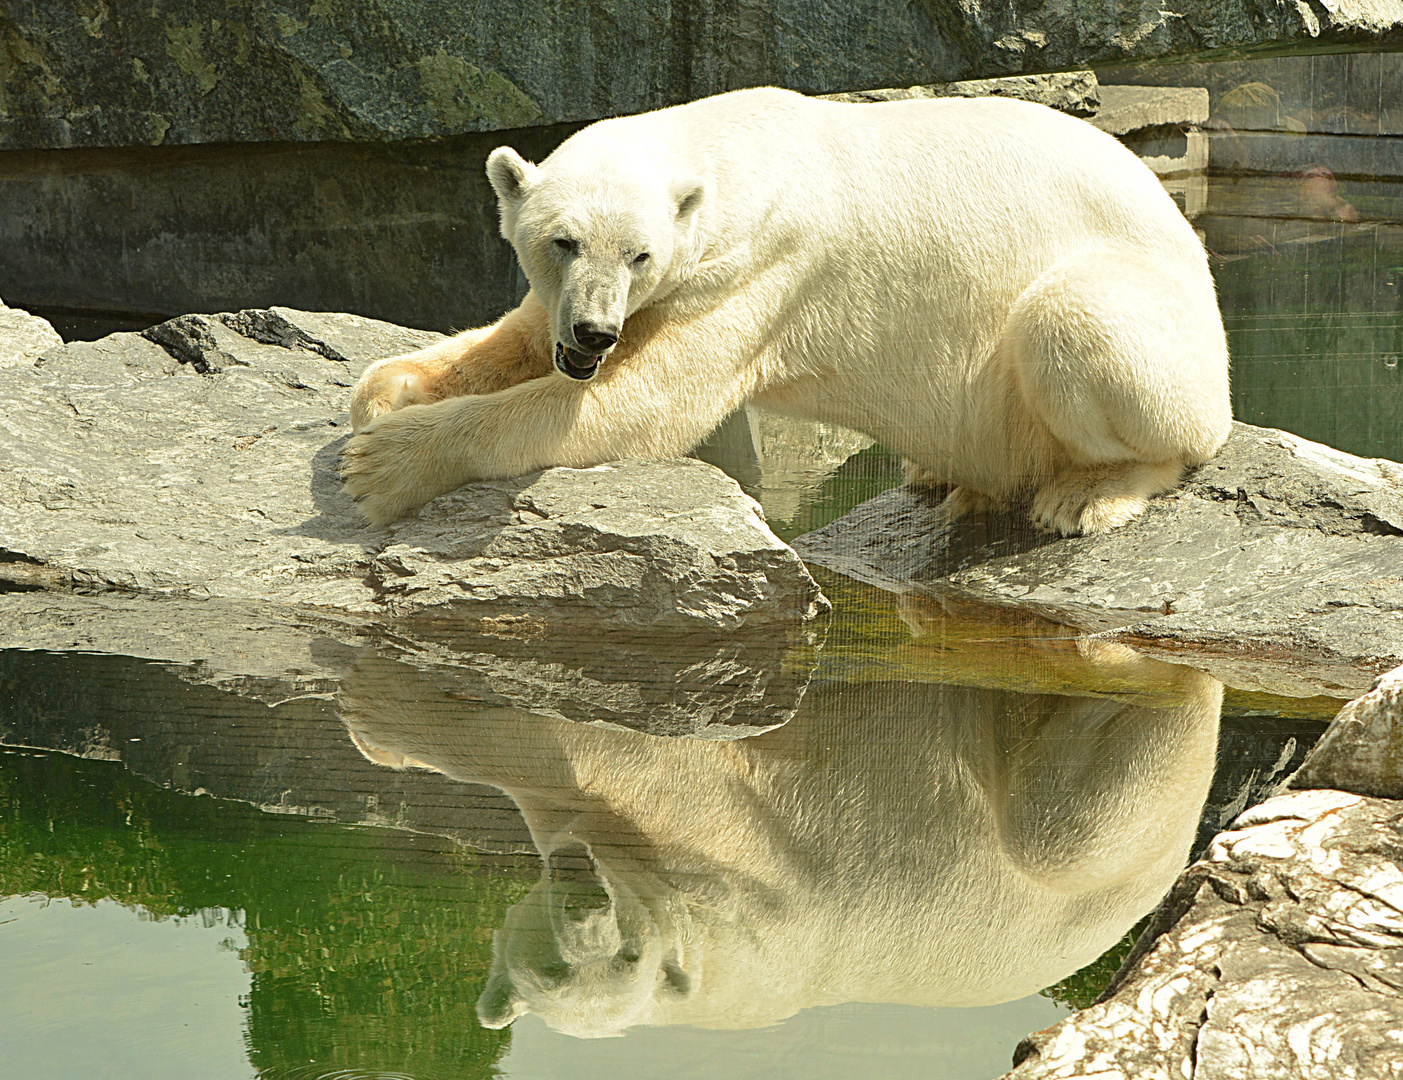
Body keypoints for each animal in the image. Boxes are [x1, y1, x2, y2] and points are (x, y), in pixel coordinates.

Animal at [336, 639, 1217, 1032]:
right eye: (552, 966)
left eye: (628, 959)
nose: (587, 903)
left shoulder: (733, 877)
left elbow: (638, 755)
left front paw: (381, 699)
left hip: (1091, 842)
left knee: (1065, 820)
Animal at [342, 86, 1229, 532]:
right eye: (561, 241)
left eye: (639, 254)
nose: (594, 331)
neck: (730, 151)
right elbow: (523, 333)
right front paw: (388, 388)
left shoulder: (759, 269)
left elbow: (637, 404)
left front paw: (380, 466)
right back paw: (942, 477)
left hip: (1152, 325)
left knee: (1079, 330)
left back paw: (1086, 494)